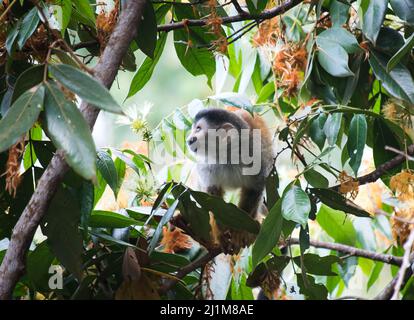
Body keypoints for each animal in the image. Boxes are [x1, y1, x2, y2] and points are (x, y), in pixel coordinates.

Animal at [186, 109, 274, 254]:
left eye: (198, 129)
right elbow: (211, 197)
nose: (189, 140)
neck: (228, 155)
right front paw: (220, 232)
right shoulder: (206, 165)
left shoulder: (256, 156)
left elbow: (254, 189)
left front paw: (240, 231)